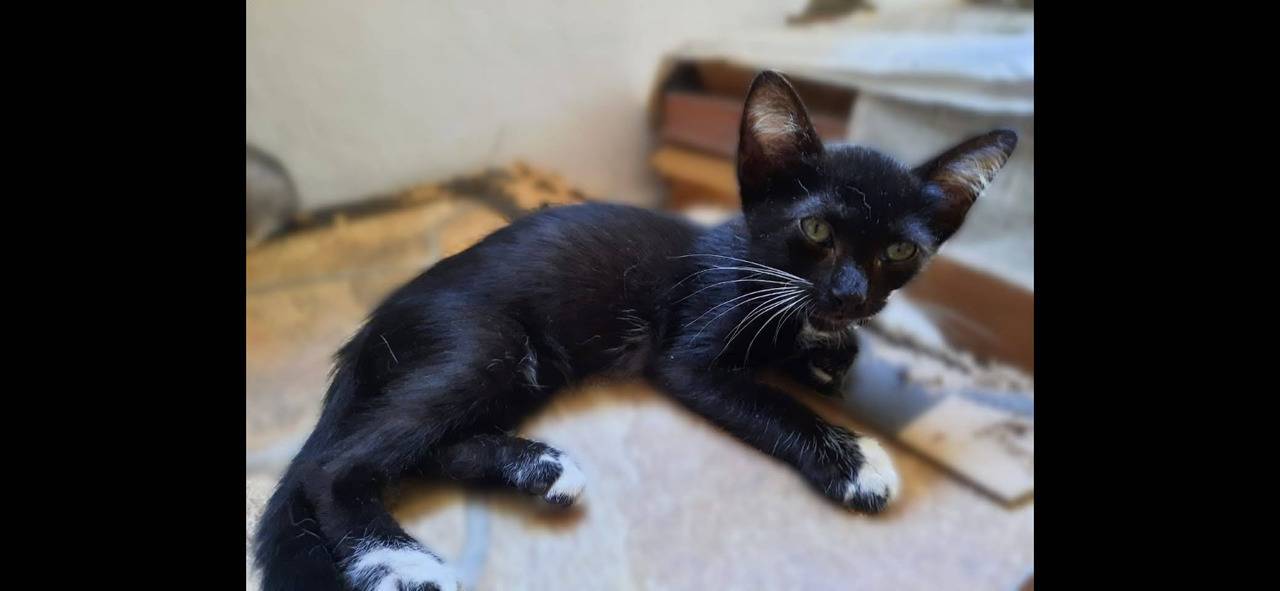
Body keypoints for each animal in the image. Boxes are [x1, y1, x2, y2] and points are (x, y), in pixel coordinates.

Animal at [252, 70, 1016, 591]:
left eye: (899, 252)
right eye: (817, 229)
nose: (851, 294)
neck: (765, 276)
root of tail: (373, 326)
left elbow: (830, 349)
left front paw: (828, 353)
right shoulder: (692, 346)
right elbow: (765, 399)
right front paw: (854, 459)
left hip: (528, 367)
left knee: (431, 447)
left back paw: (539, 468)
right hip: (485, 342)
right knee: (336, 463)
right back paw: (403, 562)